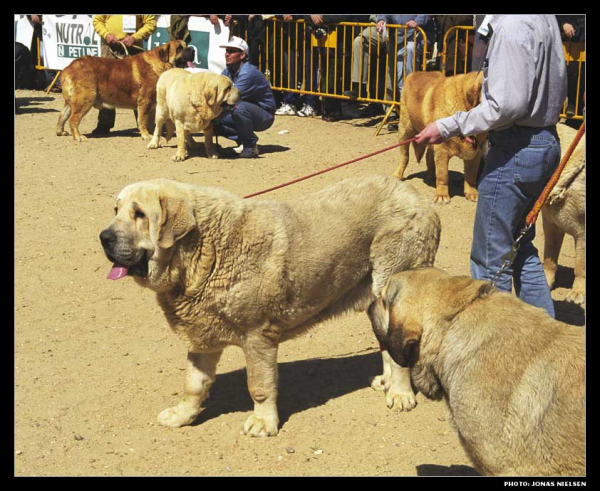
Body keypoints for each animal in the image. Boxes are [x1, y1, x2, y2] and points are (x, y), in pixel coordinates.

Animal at [55, 40, 192, 142]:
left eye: (186, 45)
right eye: (179, 48)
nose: (192, 49)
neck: (159, 65)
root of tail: (68, 68)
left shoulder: (152, 105)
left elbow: (150, 122)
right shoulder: (145, 102)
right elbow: (142, 120)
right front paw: (146, 136)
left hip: (72, 102)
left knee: (62, 116)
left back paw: (61, 132)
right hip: (85, 100)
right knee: (73, 120)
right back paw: (78, 137)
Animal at [99, 175, 440, 436]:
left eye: (140, 214)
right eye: (116, 210)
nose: (104, 237)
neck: (203, 251)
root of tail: (419, 198)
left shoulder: (257, 337)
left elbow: (259, 385)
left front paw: (263, 422)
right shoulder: (202, 337)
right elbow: (193, 383)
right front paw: (183, 414)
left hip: (392, 279)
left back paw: (400, 393)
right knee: (387, 344)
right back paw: (387, 381)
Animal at [394, 71, 488, 204]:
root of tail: (415, 73)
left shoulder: (476, 153)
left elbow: (471, 175)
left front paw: (471, 193)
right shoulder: (442, 152)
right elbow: (443, 175)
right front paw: (442, 195)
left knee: (429, 153)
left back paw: (430, 173)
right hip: (405, 130)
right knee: (405, 156)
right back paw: (398, 174)